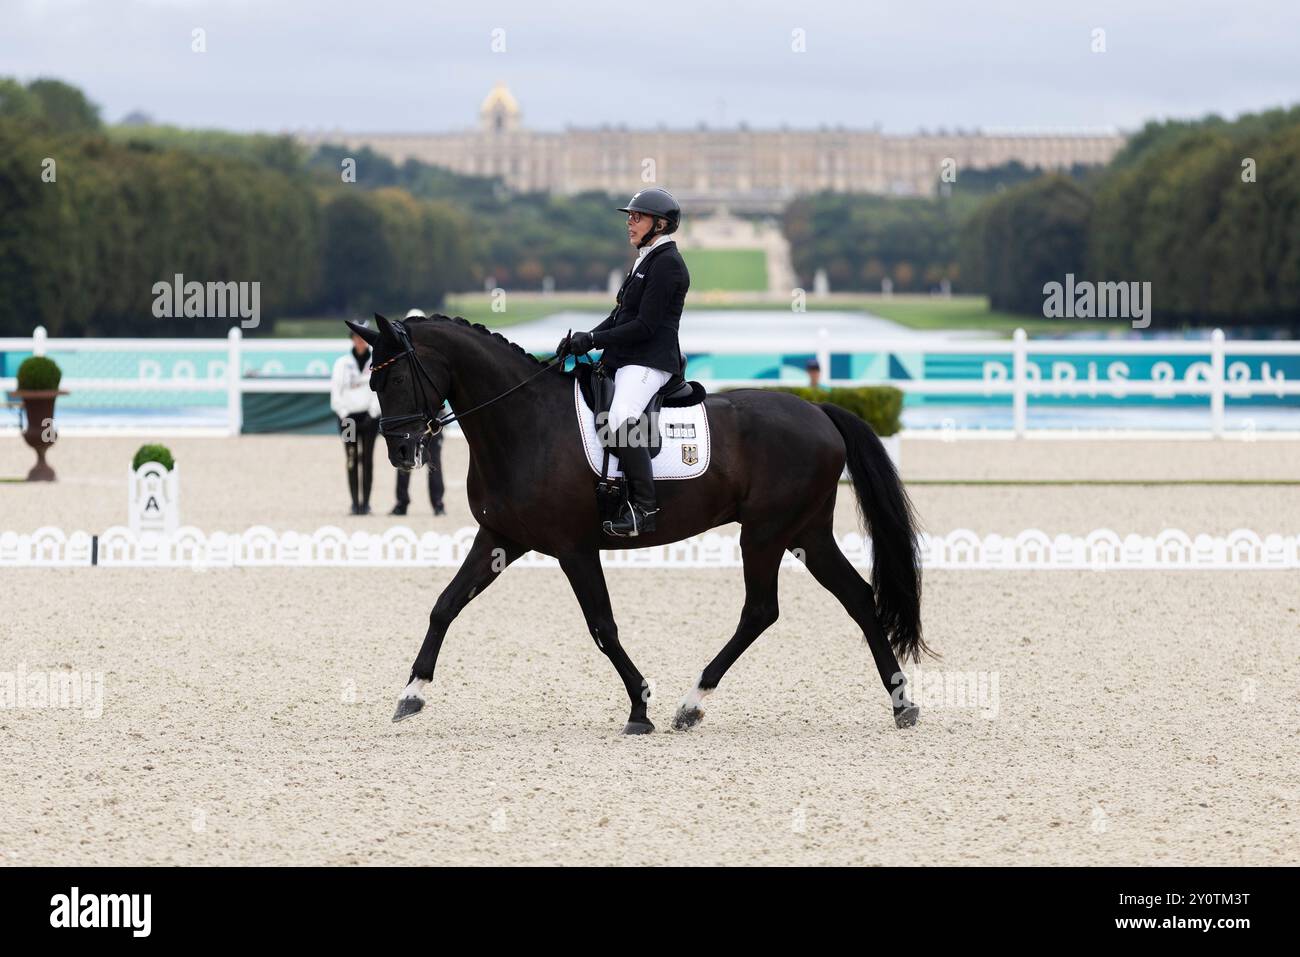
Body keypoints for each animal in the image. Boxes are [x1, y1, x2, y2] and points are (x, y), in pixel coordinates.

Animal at [348, 314, 935, 733]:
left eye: (395, 376)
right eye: (372, 382)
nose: (401, 451)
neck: (524, 424)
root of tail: (819, 412)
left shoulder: (573, 548)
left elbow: (602, 626)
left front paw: (640, 706)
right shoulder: (501, 539)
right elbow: (445, 605)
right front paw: (411, 694)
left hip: (766, 533)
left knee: (761, 610)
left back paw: (691, 704)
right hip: (805, 533)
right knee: (857, 598)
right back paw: (901, 702)